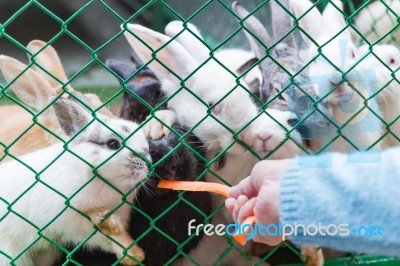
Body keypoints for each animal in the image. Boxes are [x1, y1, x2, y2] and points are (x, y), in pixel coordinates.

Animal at [0, 97, 150, 266]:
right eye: (113, 144)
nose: (148, 162)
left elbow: (112, 238)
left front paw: (133, 255)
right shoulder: (75, 221)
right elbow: (100, 231)